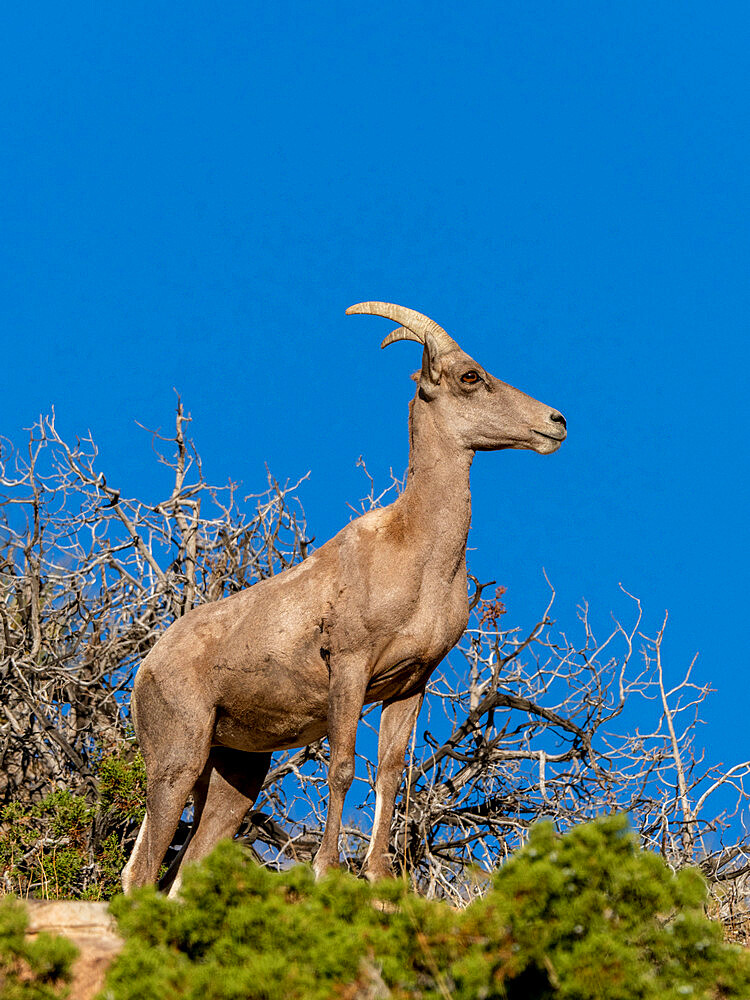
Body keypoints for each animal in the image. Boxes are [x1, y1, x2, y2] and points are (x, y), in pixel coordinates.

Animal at [123, 302, 568, 892]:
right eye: (471, 376)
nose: (556, 422)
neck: (418, 555)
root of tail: (146, 669)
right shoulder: (350, 669)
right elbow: (342, 768)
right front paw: (326, 869)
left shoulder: (409, 684)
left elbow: (390, 773)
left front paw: (380, 877)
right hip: (178, 761)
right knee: (139, 869)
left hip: (232, 781)